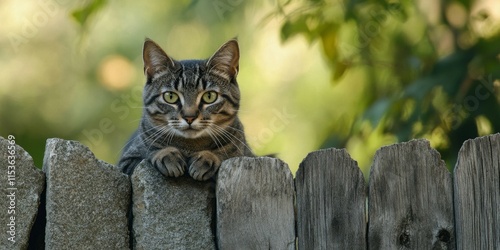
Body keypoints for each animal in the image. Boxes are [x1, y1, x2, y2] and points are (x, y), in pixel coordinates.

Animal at [117, 38, 254, 181]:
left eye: (209, 96)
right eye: (170, 96)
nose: (189, 117)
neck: (189, 147)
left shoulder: (247, 155)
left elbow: (226, 155)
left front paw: (208, 158)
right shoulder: (127, 161)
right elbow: (148, 154)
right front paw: (167, 155)